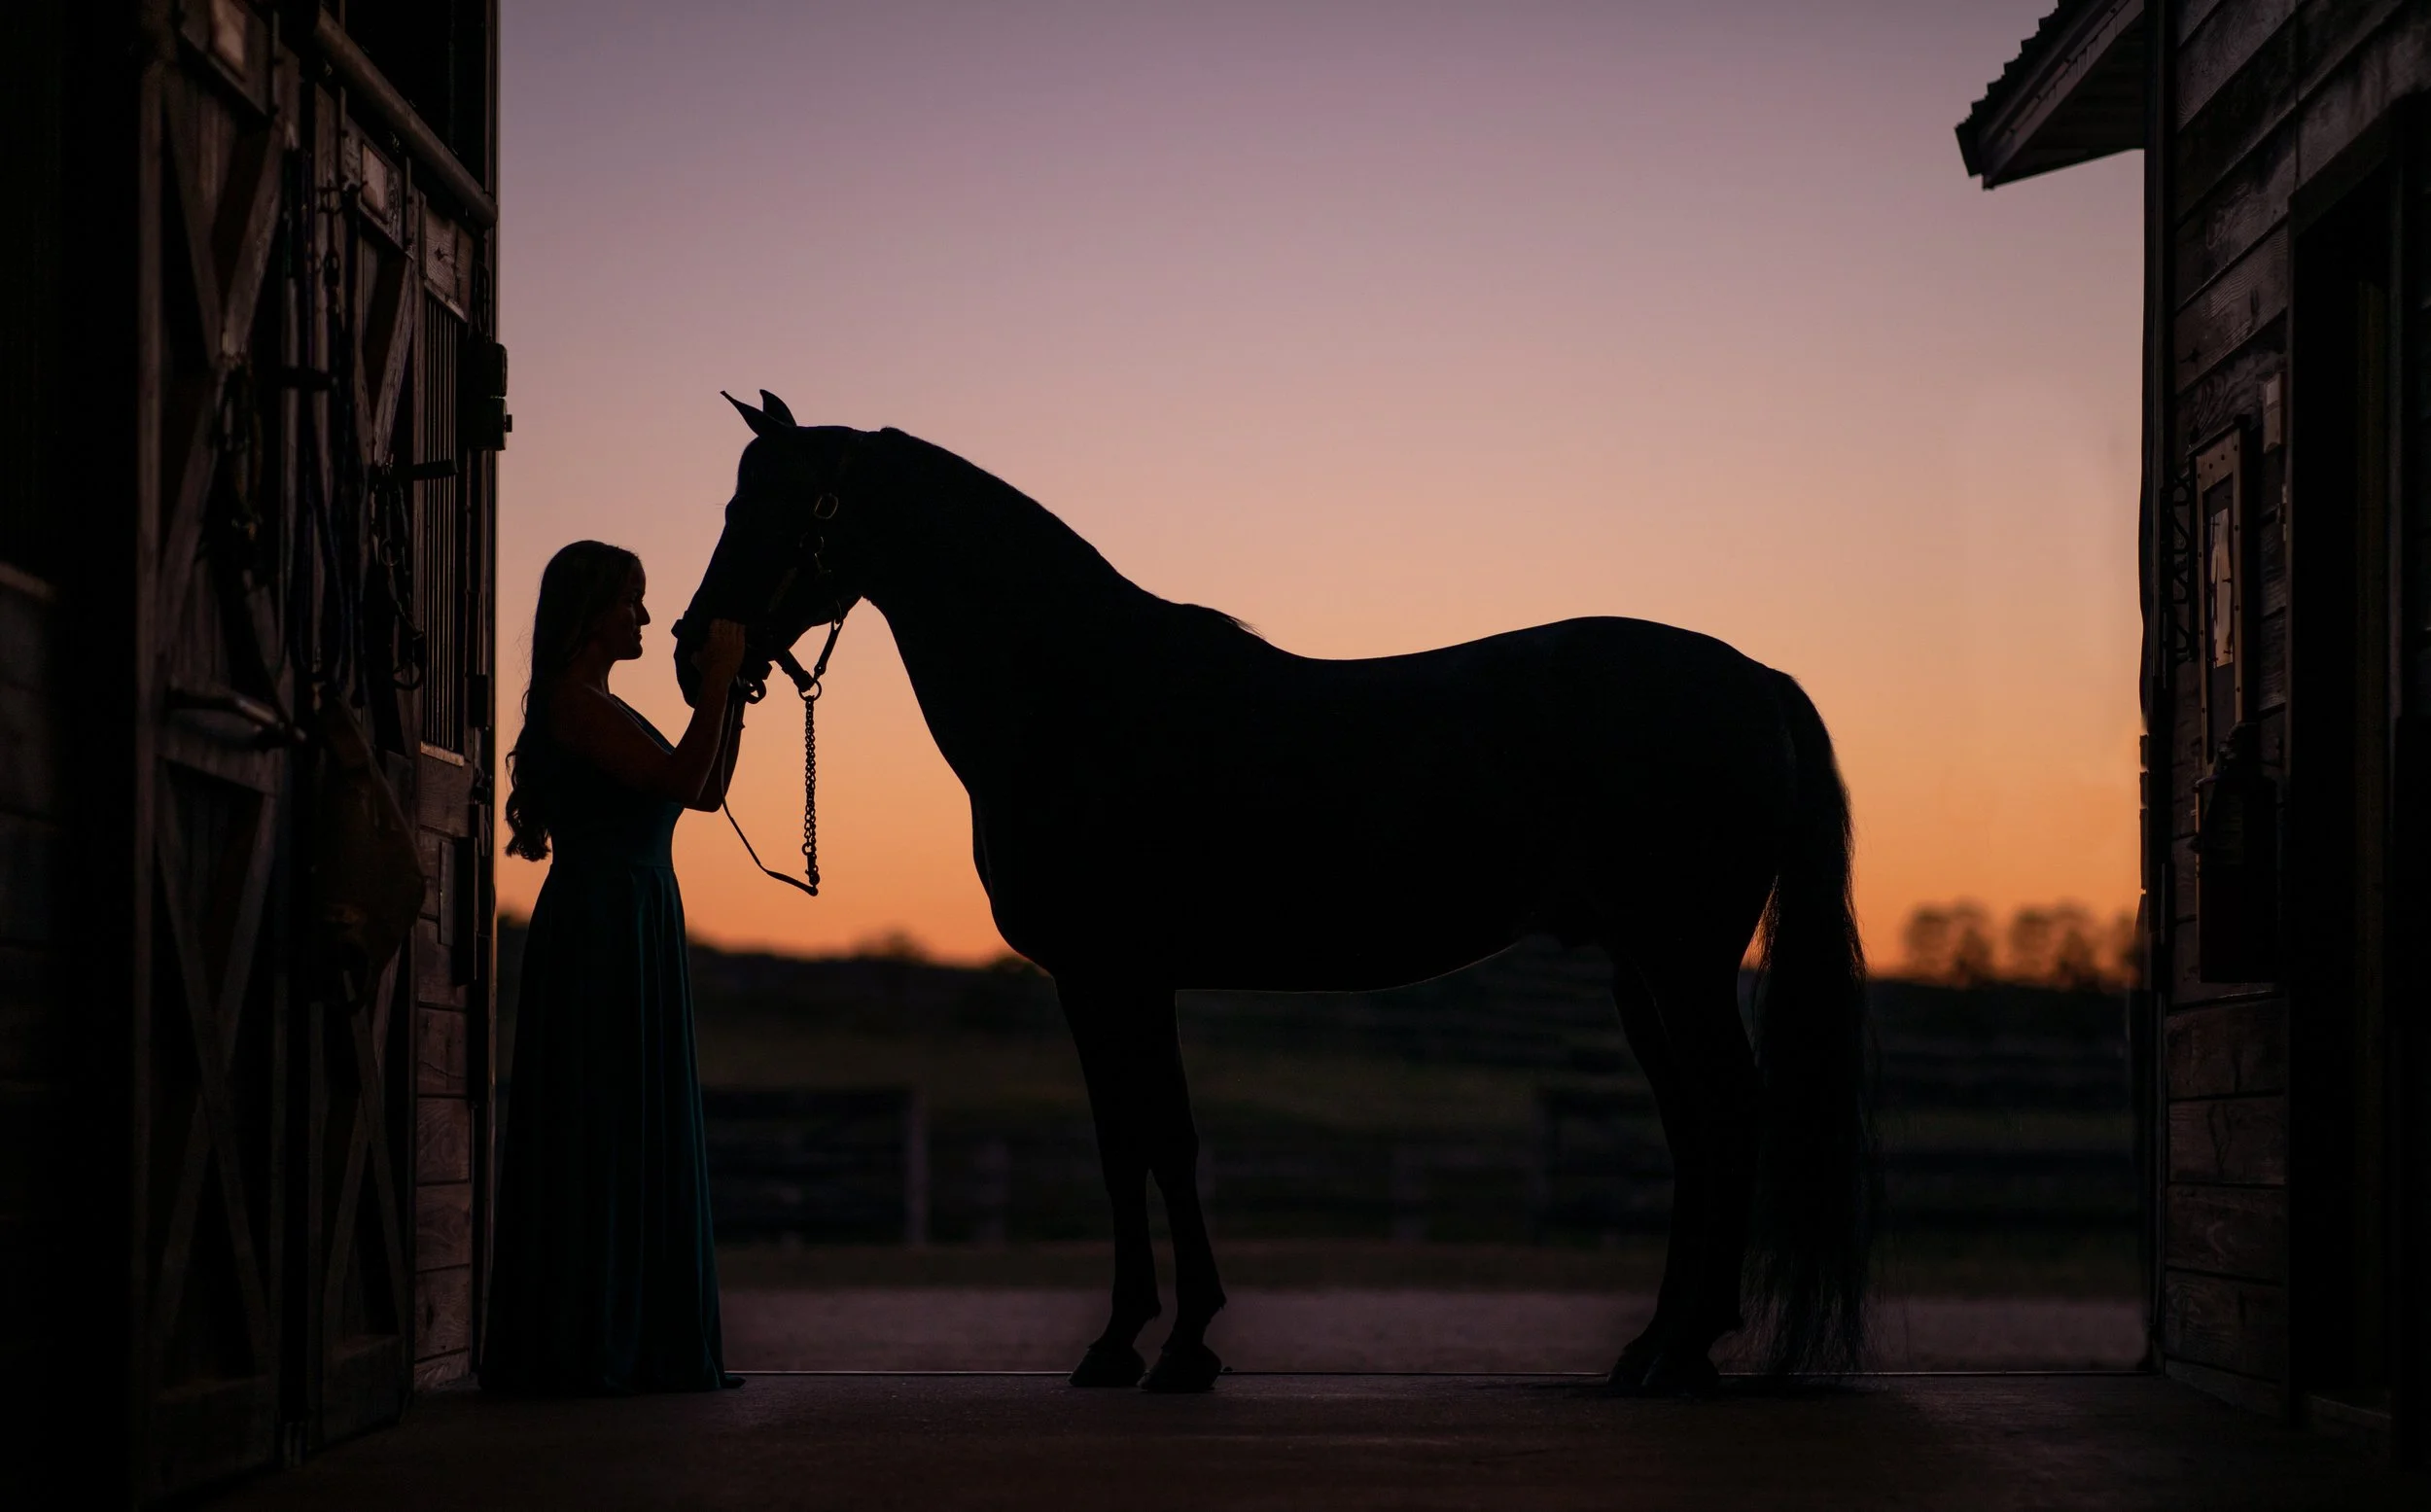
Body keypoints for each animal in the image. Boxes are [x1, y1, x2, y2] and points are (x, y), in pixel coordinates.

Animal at [674, 391, 1873, 1394]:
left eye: (784, 505)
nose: (692, 652)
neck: (1083, 697)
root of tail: (1755, 678)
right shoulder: (1094, 982)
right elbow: (1123, 1145)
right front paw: (1124, 1342)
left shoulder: (1122, 971)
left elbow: (1163, 1139)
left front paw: (1179, 1344)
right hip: (1642, 971)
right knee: (1692, 1129)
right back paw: (1653, 1348)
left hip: (1683, 962)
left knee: (1731, 1112)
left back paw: (1690, 1347)